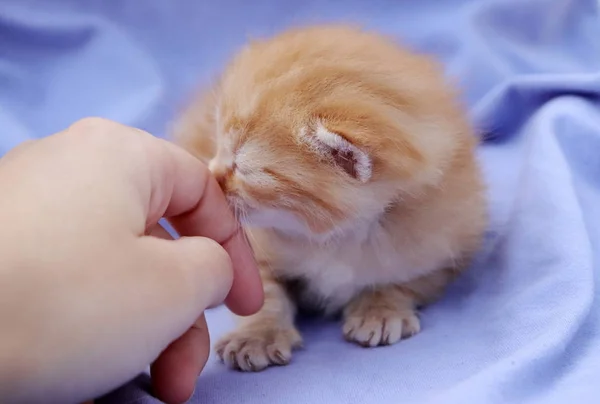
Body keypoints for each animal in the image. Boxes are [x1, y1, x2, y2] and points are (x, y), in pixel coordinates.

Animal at [170, 25, 488, 372]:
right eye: (217, 144)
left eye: (241, 166)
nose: (209, 174)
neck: (337, 236)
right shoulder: (252, 249)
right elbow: (263, 294)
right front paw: (257, 335)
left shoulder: (445, 244)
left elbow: (404, 279)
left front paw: (379, 310)